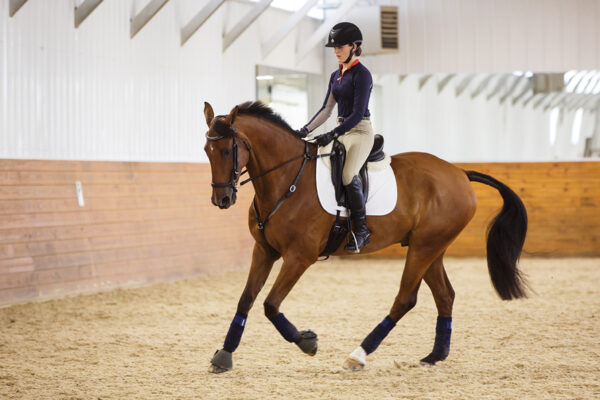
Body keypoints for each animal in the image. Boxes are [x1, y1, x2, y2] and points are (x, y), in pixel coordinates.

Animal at [204, 99, 528, 372]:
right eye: (207, 151)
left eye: (227, 151)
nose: (222, 199)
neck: (287, 179)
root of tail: (460, 173)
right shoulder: (264, 250)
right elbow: (246, 299)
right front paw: (225, 354)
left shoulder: (300, 256)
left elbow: (270, 304)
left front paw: (308, 341)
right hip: (430, 247)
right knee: (445, 295)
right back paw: (435, 355)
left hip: (424, 247)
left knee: (405, 299)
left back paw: (358, 355)